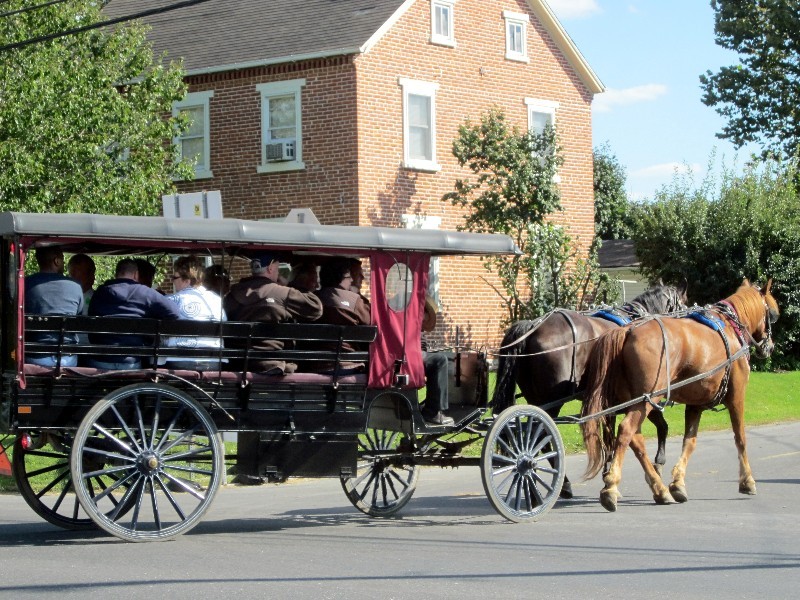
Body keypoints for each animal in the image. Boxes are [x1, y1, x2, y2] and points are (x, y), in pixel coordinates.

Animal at [494, 282, 688, 496]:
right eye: (684, 304)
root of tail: (532, 328)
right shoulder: (642, 396)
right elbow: (660, 426)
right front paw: (656, 464)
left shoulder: (611, 403)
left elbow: (610, 435)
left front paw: (608, 473)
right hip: (550, 401)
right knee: (542, 436)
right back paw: (562, 483)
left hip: (535, 399)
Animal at [580, 280, 780, 510]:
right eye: (773, 314)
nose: (770, 346)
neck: (731, 327)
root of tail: (628, 330)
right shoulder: (737, 396)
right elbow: (741, 438)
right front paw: (747, 480)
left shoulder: (695, 404)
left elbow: (689, 442)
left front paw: (677, 483)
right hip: (647, 399)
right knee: (626, 431)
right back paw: (612, 486)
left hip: (633, 401)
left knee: (634, 439)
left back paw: (659, 489)